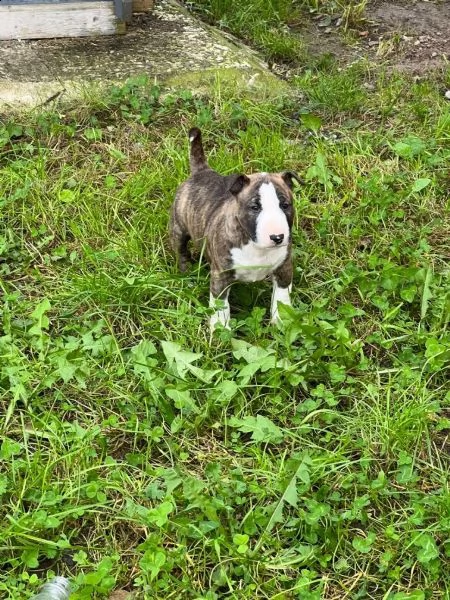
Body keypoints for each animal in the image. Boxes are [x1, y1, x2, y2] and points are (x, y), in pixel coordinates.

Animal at [169, 128, 298, 330]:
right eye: (255, 207)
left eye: (285, 205)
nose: (277, 237)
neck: (255, 246)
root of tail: (202, 171)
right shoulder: (220, 275)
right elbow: (220, 305)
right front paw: (220, 329)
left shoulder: (284, 267)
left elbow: (281, 297)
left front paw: (282, 322)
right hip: (179, 228)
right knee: (181, 250)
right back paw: (186, 273)